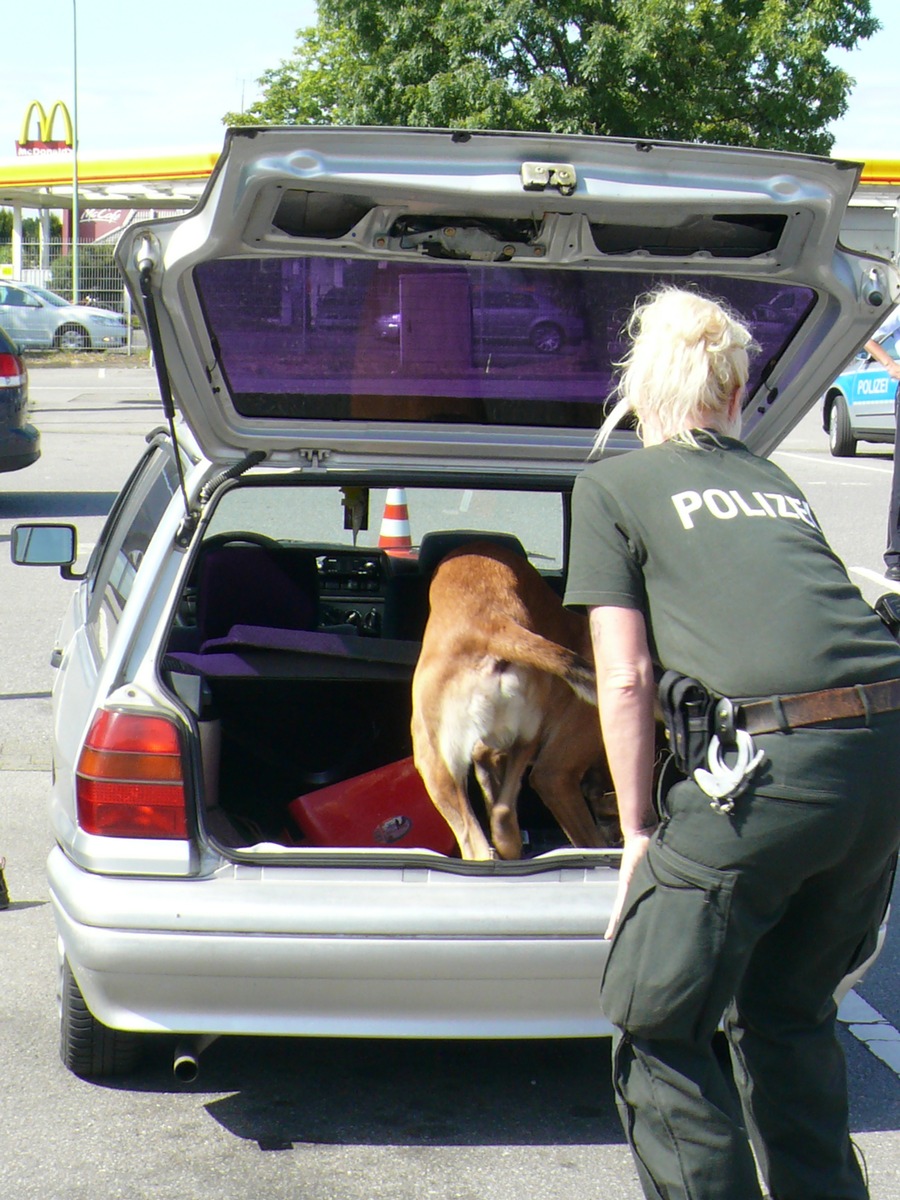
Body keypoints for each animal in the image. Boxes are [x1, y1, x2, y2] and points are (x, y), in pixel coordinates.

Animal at [410, 540, 619, 859]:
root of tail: (493, 626)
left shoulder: (555, 773)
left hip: (434, 763)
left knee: (476, 842)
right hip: (524, 739)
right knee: (504, 819)